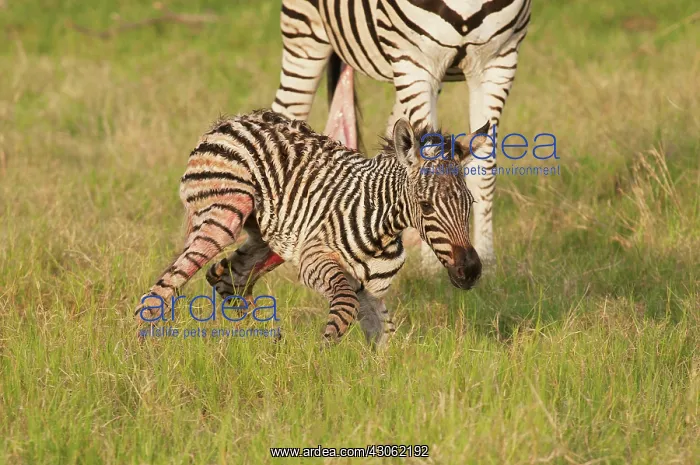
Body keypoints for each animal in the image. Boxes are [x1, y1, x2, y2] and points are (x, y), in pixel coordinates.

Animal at [134, 109, 489, 345]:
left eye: (469, 204)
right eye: (426, 206)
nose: (470, 271)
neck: (382, 226)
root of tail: (230, 121)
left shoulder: (372, 290)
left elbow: (385, 340)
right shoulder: (316, 260)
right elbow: (344, 308)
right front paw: (321, 357)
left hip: (269, 238)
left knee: (227, 277)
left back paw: (264, 340)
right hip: (224, 216)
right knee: (162, 289)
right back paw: (145, 349)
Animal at [271, 0, 531, 271]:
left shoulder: (499, 60)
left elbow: (483, 170)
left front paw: (488, 262)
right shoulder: (413, 60)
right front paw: (432, 266)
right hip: (304, 31)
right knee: (287, 109)